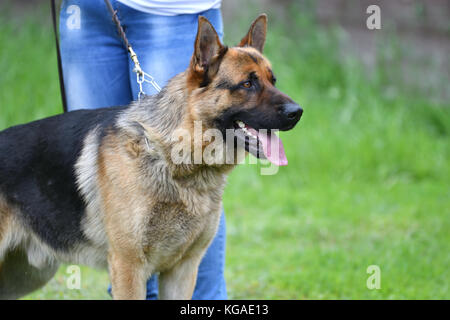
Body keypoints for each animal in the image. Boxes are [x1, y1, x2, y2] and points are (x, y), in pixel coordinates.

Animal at [0, 14, 302, 300]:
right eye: (248, 83)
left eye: (273, 81)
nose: (297, 112)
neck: (172, 157)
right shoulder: (128, 267)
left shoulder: (183, 270)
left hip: (26, 276)